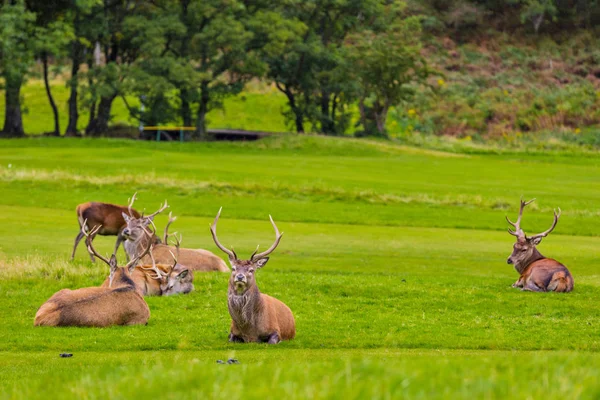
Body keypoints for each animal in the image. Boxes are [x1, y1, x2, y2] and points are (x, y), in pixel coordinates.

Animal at [210, 206, 296, 344]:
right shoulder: (232, 333)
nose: (240, 276)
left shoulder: (275, 331)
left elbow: (272, 341)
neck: (249, 330)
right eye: (233, 268)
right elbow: (231, 339)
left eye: (251, 270)